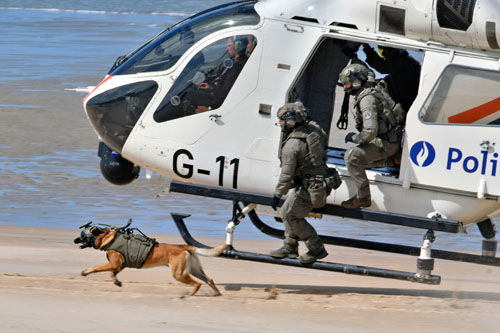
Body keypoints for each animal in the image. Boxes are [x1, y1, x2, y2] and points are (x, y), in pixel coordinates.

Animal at [74, 224, 229, 294]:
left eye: (82, 235)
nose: (74, 240)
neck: (106, 237)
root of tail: (184, 246)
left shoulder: (114, 263)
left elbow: (97, 268)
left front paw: (85, 272)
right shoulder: (119, 265)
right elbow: (112, 273)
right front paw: (116, 281)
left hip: (179, 273)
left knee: (197, 284)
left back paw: (189, 295)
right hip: (194, 269)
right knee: (209, 280)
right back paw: (216, 293)